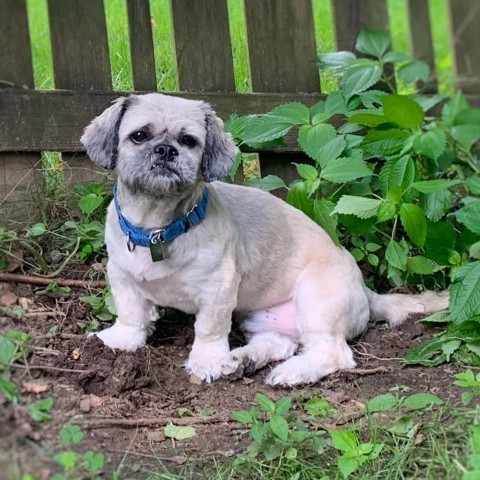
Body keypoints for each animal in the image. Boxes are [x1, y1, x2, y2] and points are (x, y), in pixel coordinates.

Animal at [80, 94, 448, 386]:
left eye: (189, 141)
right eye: (139, 136)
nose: (166, 150)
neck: (157, 228)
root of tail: (365, 290)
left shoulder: (218, 291)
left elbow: (209, 329)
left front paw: (207, 361)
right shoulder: (122, 277)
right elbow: (131, 314)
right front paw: (120, 341)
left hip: (317, 303)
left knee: (333, 353)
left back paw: (292, 372)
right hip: (263, 317)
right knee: (281, 342)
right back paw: (243, 359)